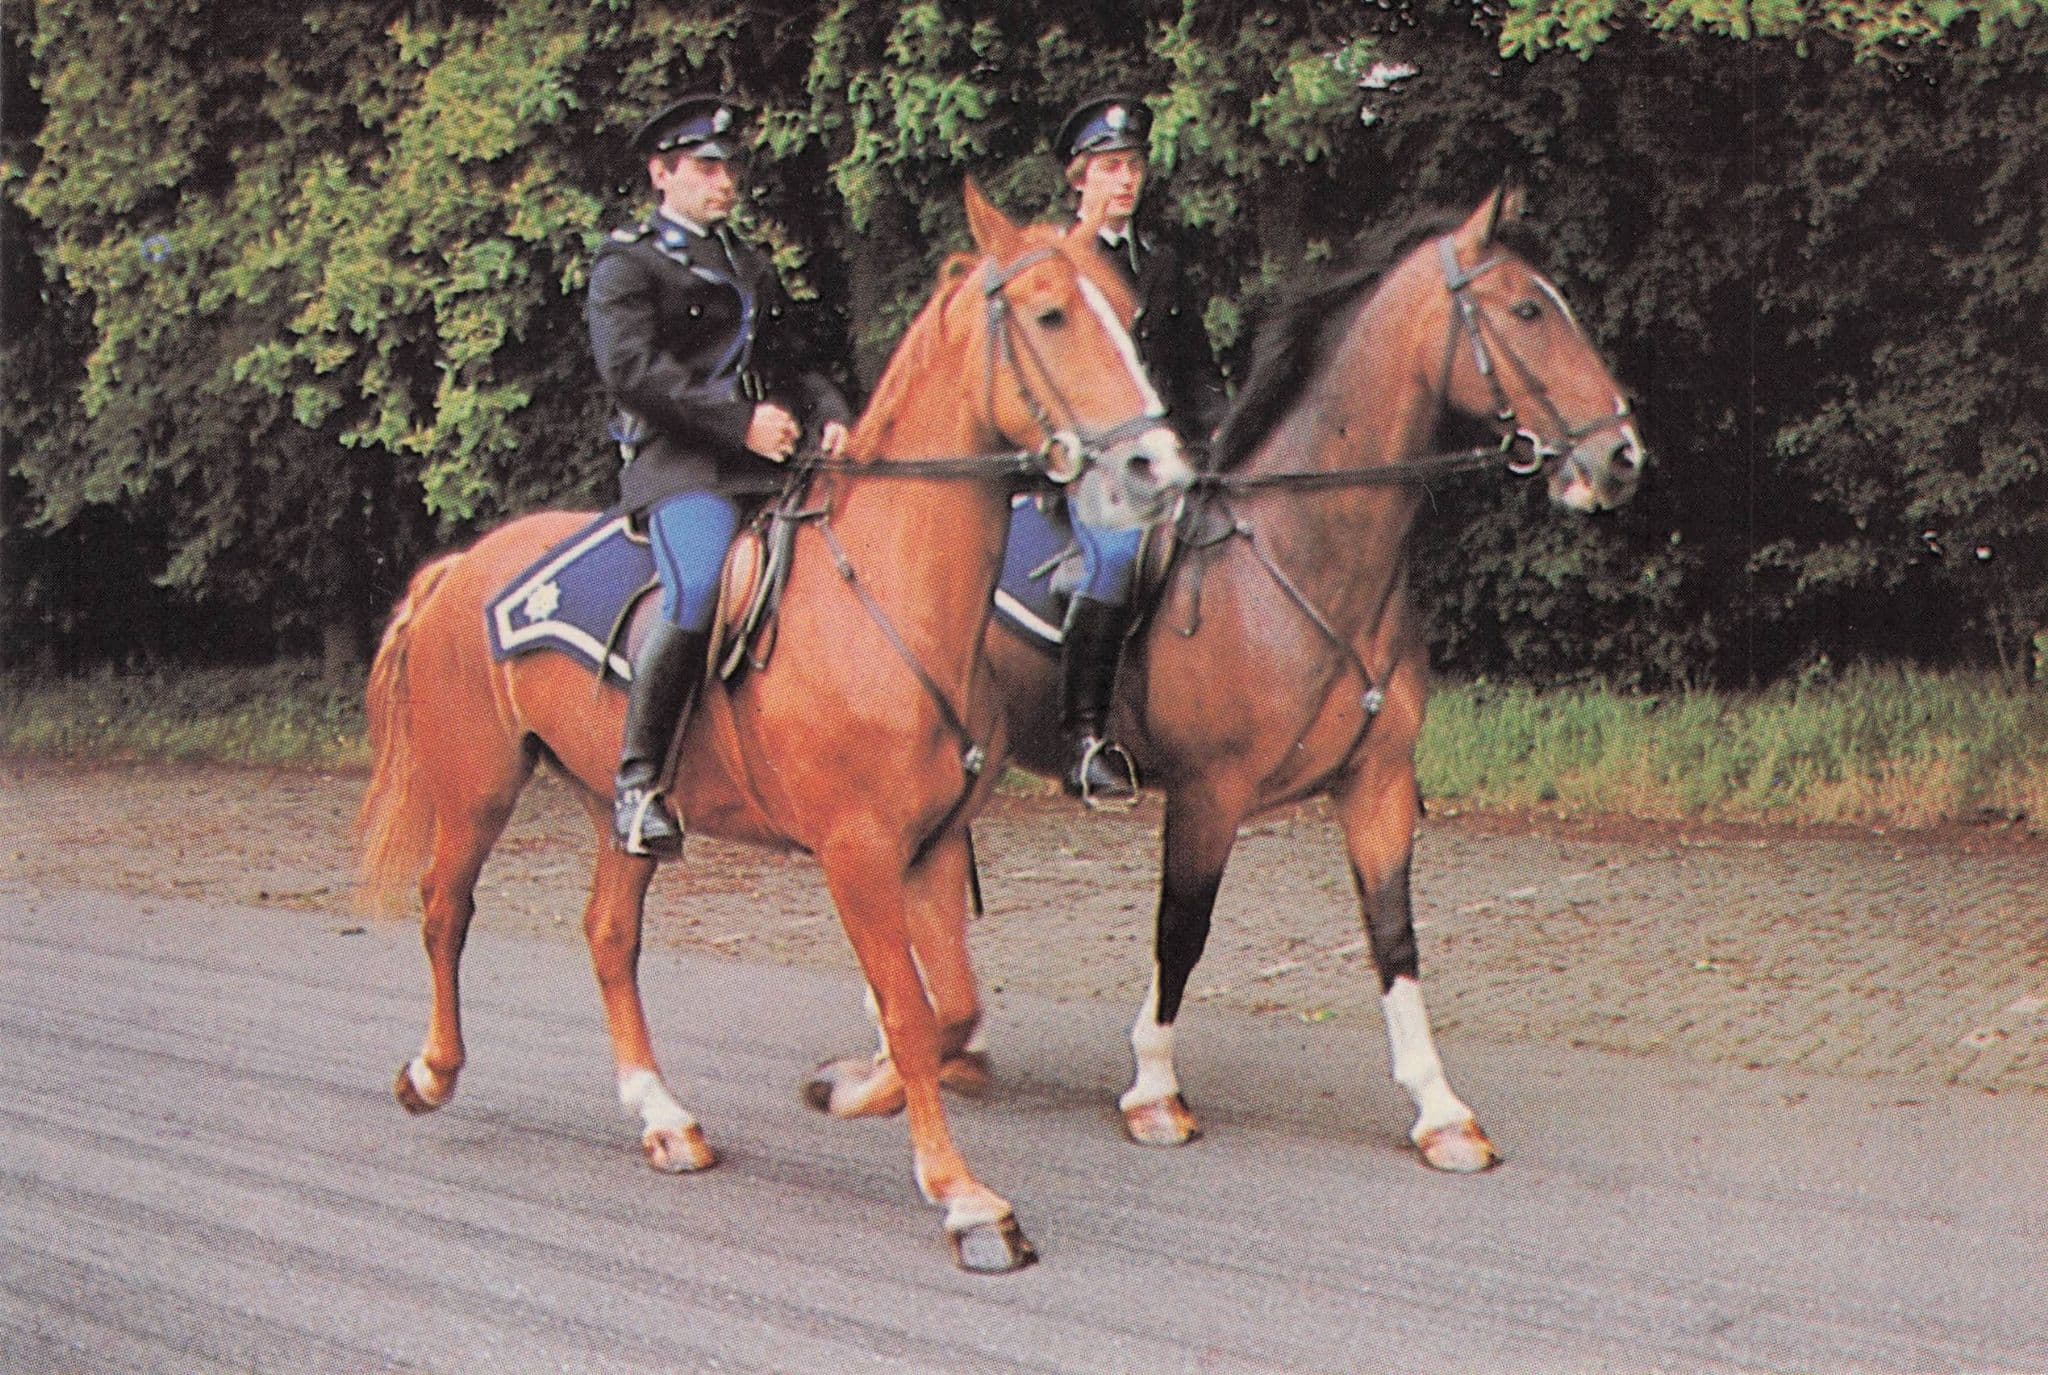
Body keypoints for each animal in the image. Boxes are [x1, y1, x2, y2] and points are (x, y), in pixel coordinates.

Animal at [355, 181, 1191, 1273]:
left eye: (1129, 312)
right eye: (1051, 314)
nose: (1157, 464)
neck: (886, 593)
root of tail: (460, 567)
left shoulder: (930, 845)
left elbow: (948, 1011)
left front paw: (851, 1088)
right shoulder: (857, 852)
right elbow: (912, 1012)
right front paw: (964, 1198)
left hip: (619, 805)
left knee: (607, 934)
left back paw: (663, 1117)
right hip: (477, 788)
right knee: (443, 909)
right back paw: (430, 1071)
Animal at [810, 188, 1645, 1172]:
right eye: (1526, 310)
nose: (1621, 455)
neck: (1296, 553)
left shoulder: (1376, 782)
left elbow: (1393, 933)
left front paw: (1440, 1108)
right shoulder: (1210, 791)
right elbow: (1183, 929)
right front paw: (1153, 1090)